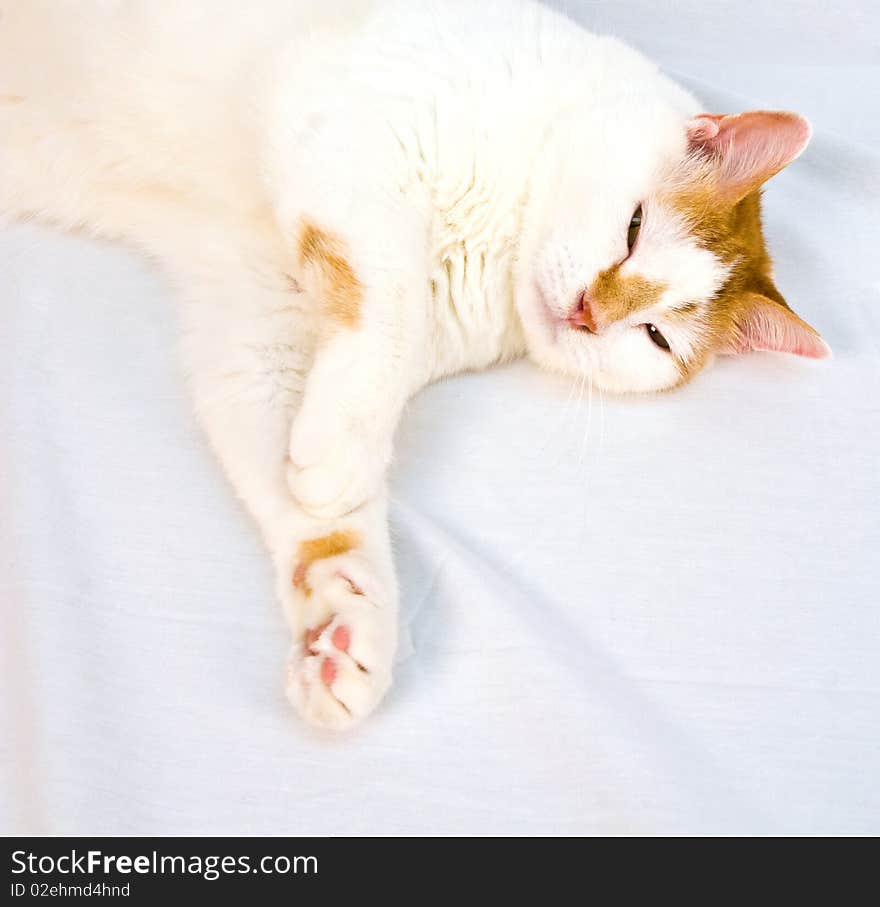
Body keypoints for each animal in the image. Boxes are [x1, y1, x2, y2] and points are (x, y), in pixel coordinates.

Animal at [0, 0, 828, 732]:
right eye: (632, 227)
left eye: (654, 336)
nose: (588, 310)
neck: (504, 229)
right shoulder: (350, 137)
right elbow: (392, 308)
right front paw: (340, 459)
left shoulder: (261, 311)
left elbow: (302, 478)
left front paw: (344, 607)